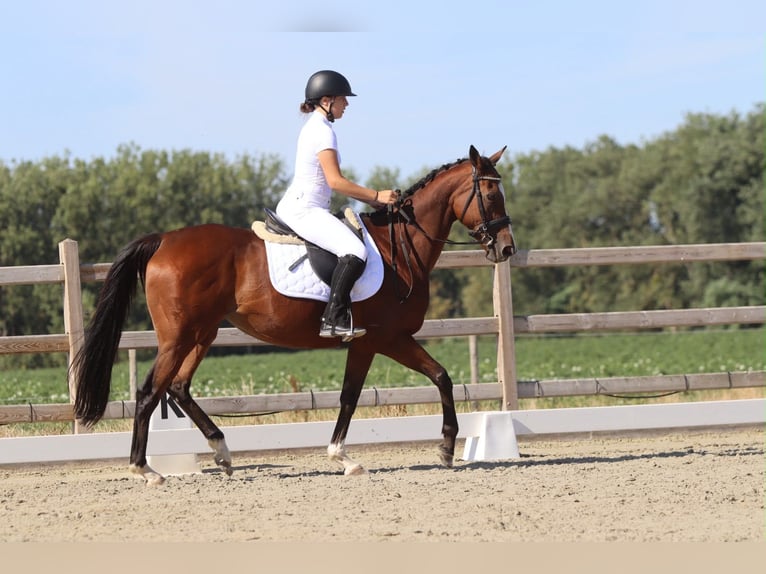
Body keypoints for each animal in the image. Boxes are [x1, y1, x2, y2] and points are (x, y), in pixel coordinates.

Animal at [71, 145, 516, 485]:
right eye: (490, 195)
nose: (507, 248)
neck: (399, 249)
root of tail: (163, 240)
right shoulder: (386, 339)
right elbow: (438, 377)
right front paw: (444, 447)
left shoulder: (368, 343)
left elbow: (354, 395)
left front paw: (344, 457)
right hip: (178, 336)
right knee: (151, 392)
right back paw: (146, 470)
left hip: (202, 334)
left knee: (178, 388)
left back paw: (222, 451)